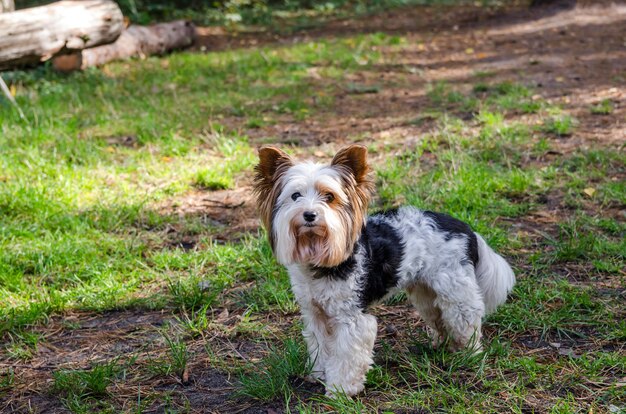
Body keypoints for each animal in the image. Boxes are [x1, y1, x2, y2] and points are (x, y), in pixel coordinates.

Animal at [251, 144, 516, 396]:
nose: (309, 214)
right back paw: (440, 345)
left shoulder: (352, 318)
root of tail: (465, 228)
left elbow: (347, 356)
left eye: (329, 196)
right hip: (425, 292)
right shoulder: (315, 313)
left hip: (455, 290)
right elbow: (320, 347)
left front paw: (340, 390)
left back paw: (469, 353)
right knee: (439, 317)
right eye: (295, 196)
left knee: (466, 320)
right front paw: (318, 375)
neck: (322, 258)